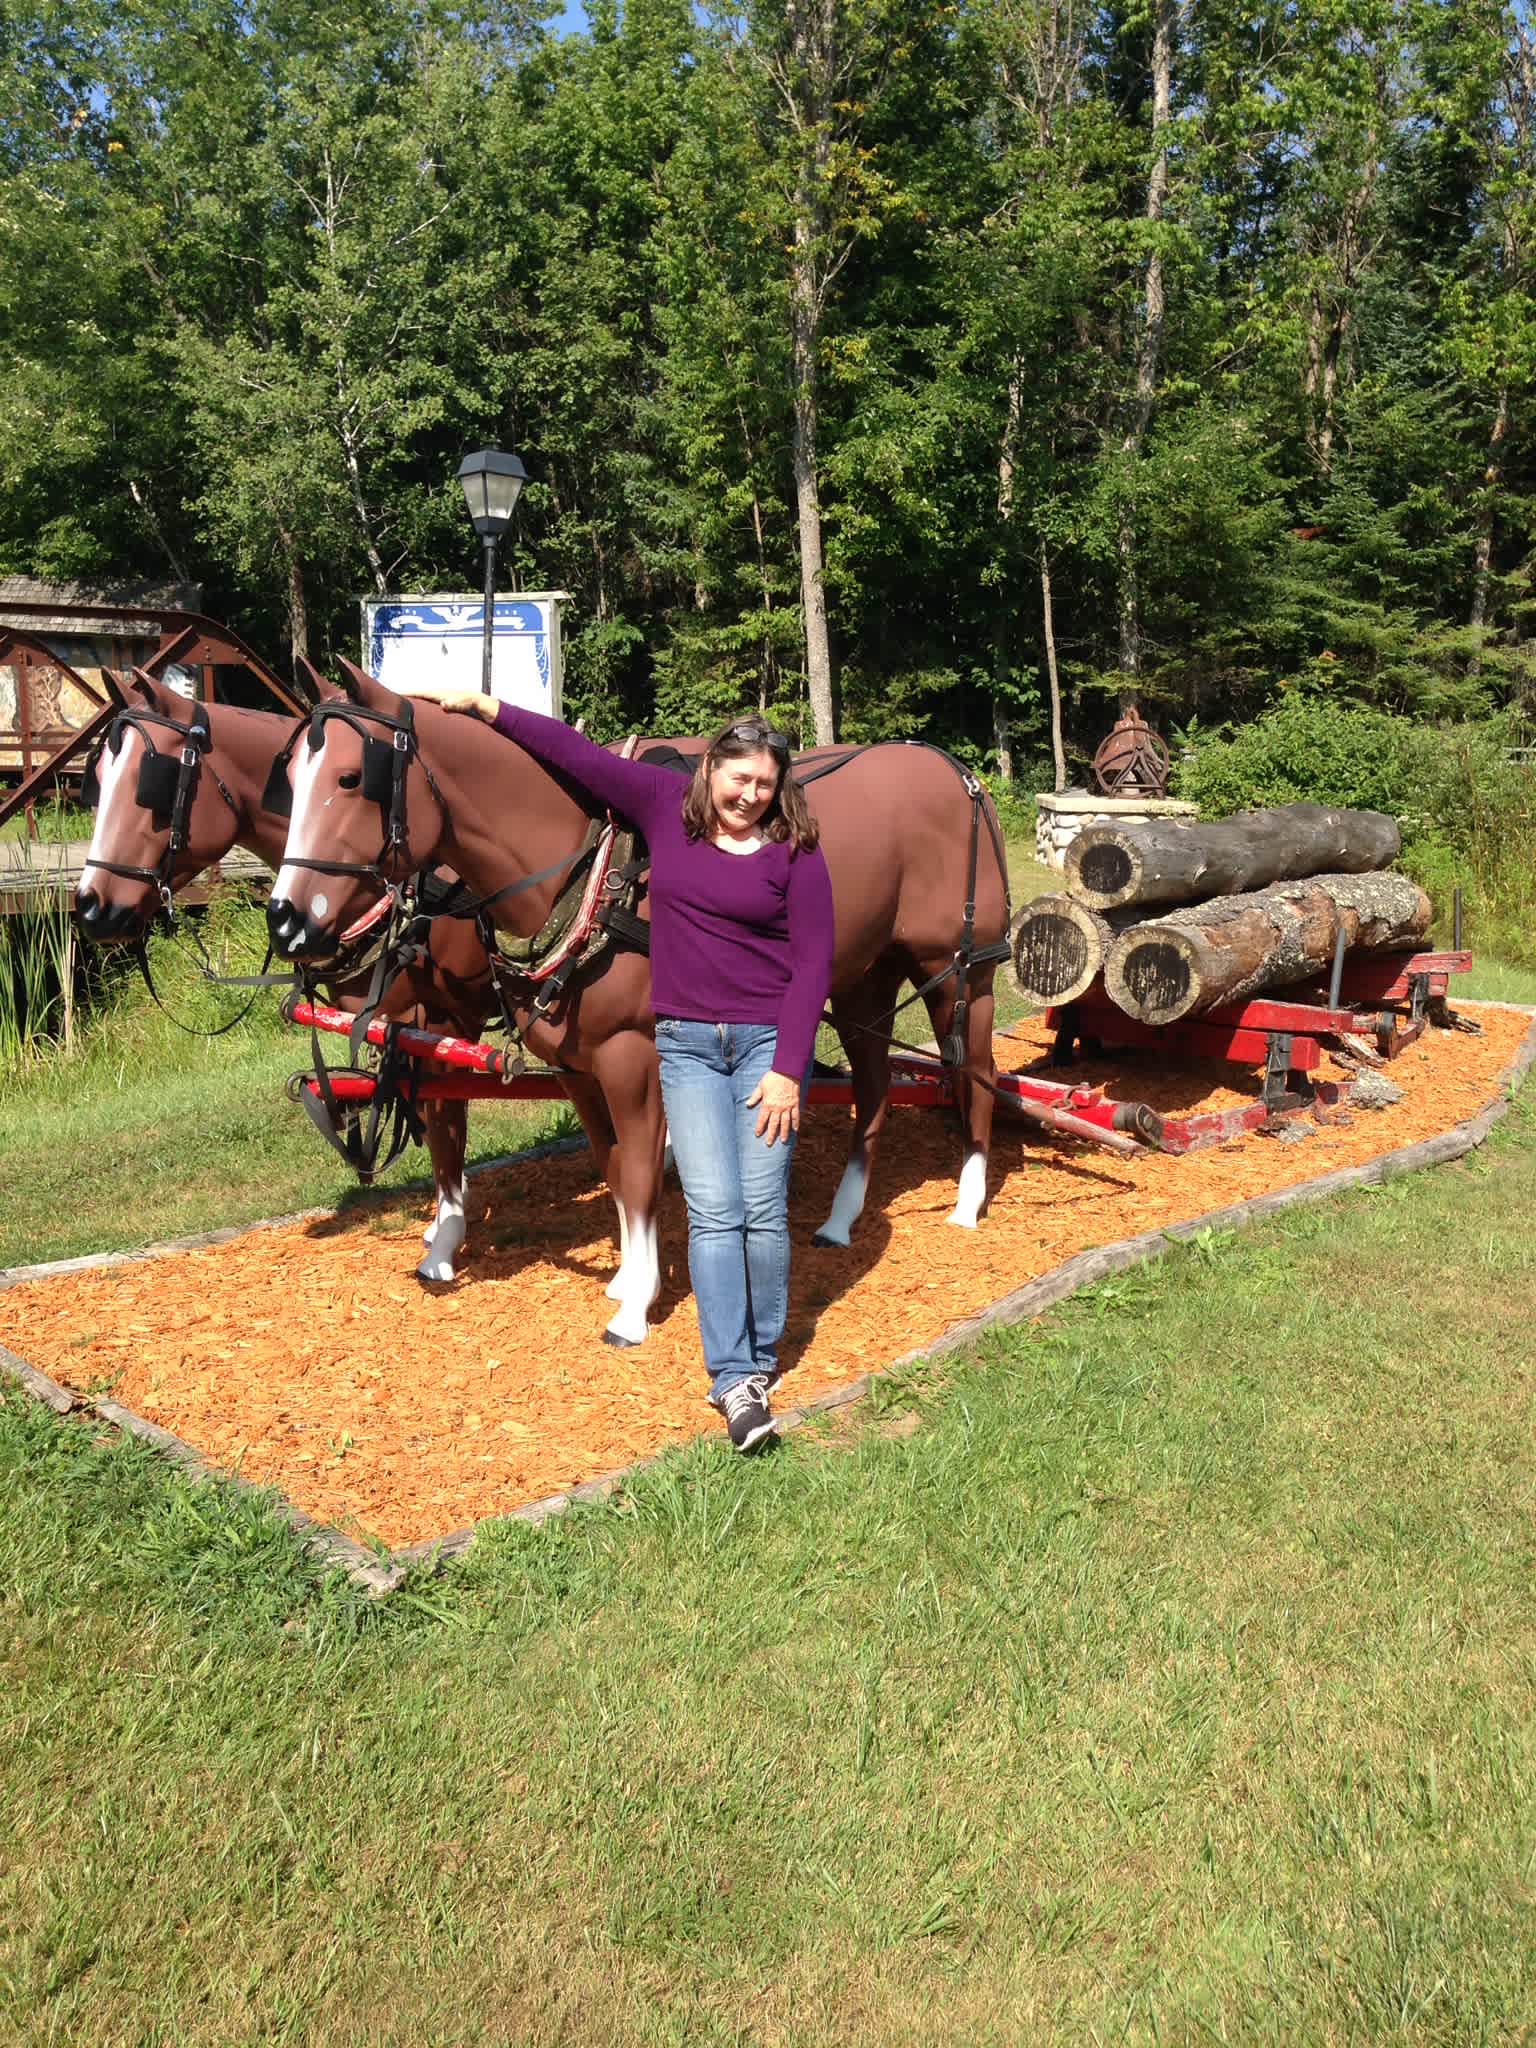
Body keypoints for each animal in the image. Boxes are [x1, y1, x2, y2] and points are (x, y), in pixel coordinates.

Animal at [71, 668, 616, 1284]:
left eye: (153, 783)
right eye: (96, 783)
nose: (92, 908)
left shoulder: (449, 1017)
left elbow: (445, 1118)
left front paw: (445, 1242)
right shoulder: (400, 1023)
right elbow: (423, 1112)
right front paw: (438, 1229)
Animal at [264, 663, 1012, 1347]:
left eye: (352, 779)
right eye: (291, 779)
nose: (287, 919)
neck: (587, 872)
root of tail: (960, 777)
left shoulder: (634, 1055)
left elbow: (642, 1170)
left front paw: (636, 1305)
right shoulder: (576, 1065)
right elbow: (614, 1168)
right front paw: (627, 1277)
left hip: (958, 969)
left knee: (974, 1072)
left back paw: (969, 1199)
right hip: (864, 974)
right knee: (877, 1084)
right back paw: (840, 1218)